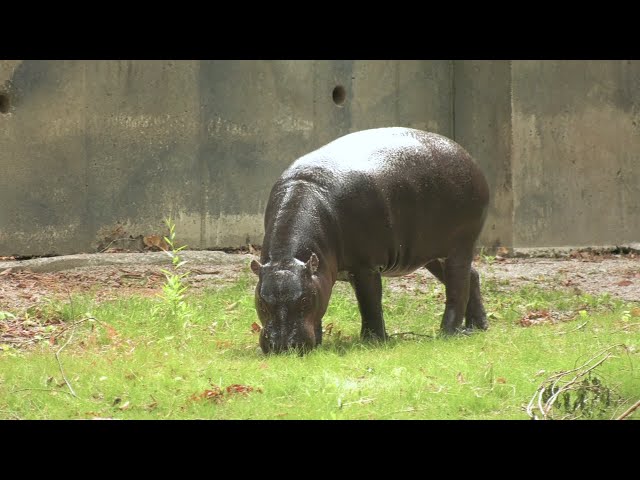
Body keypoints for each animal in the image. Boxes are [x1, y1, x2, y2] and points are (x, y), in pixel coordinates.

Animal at [251, 127, 490, 354]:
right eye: (261, 301)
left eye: (304, 300)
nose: (283, 347)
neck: (287, 259)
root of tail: (467, 155)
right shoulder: (321, 274)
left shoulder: (365, 266)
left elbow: (370, 303)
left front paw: (374, 341)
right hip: (430, 253)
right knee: (472, 276)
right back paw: (477, 327)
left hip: (460, 246)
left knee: (457, 287)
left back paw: (448, 333)